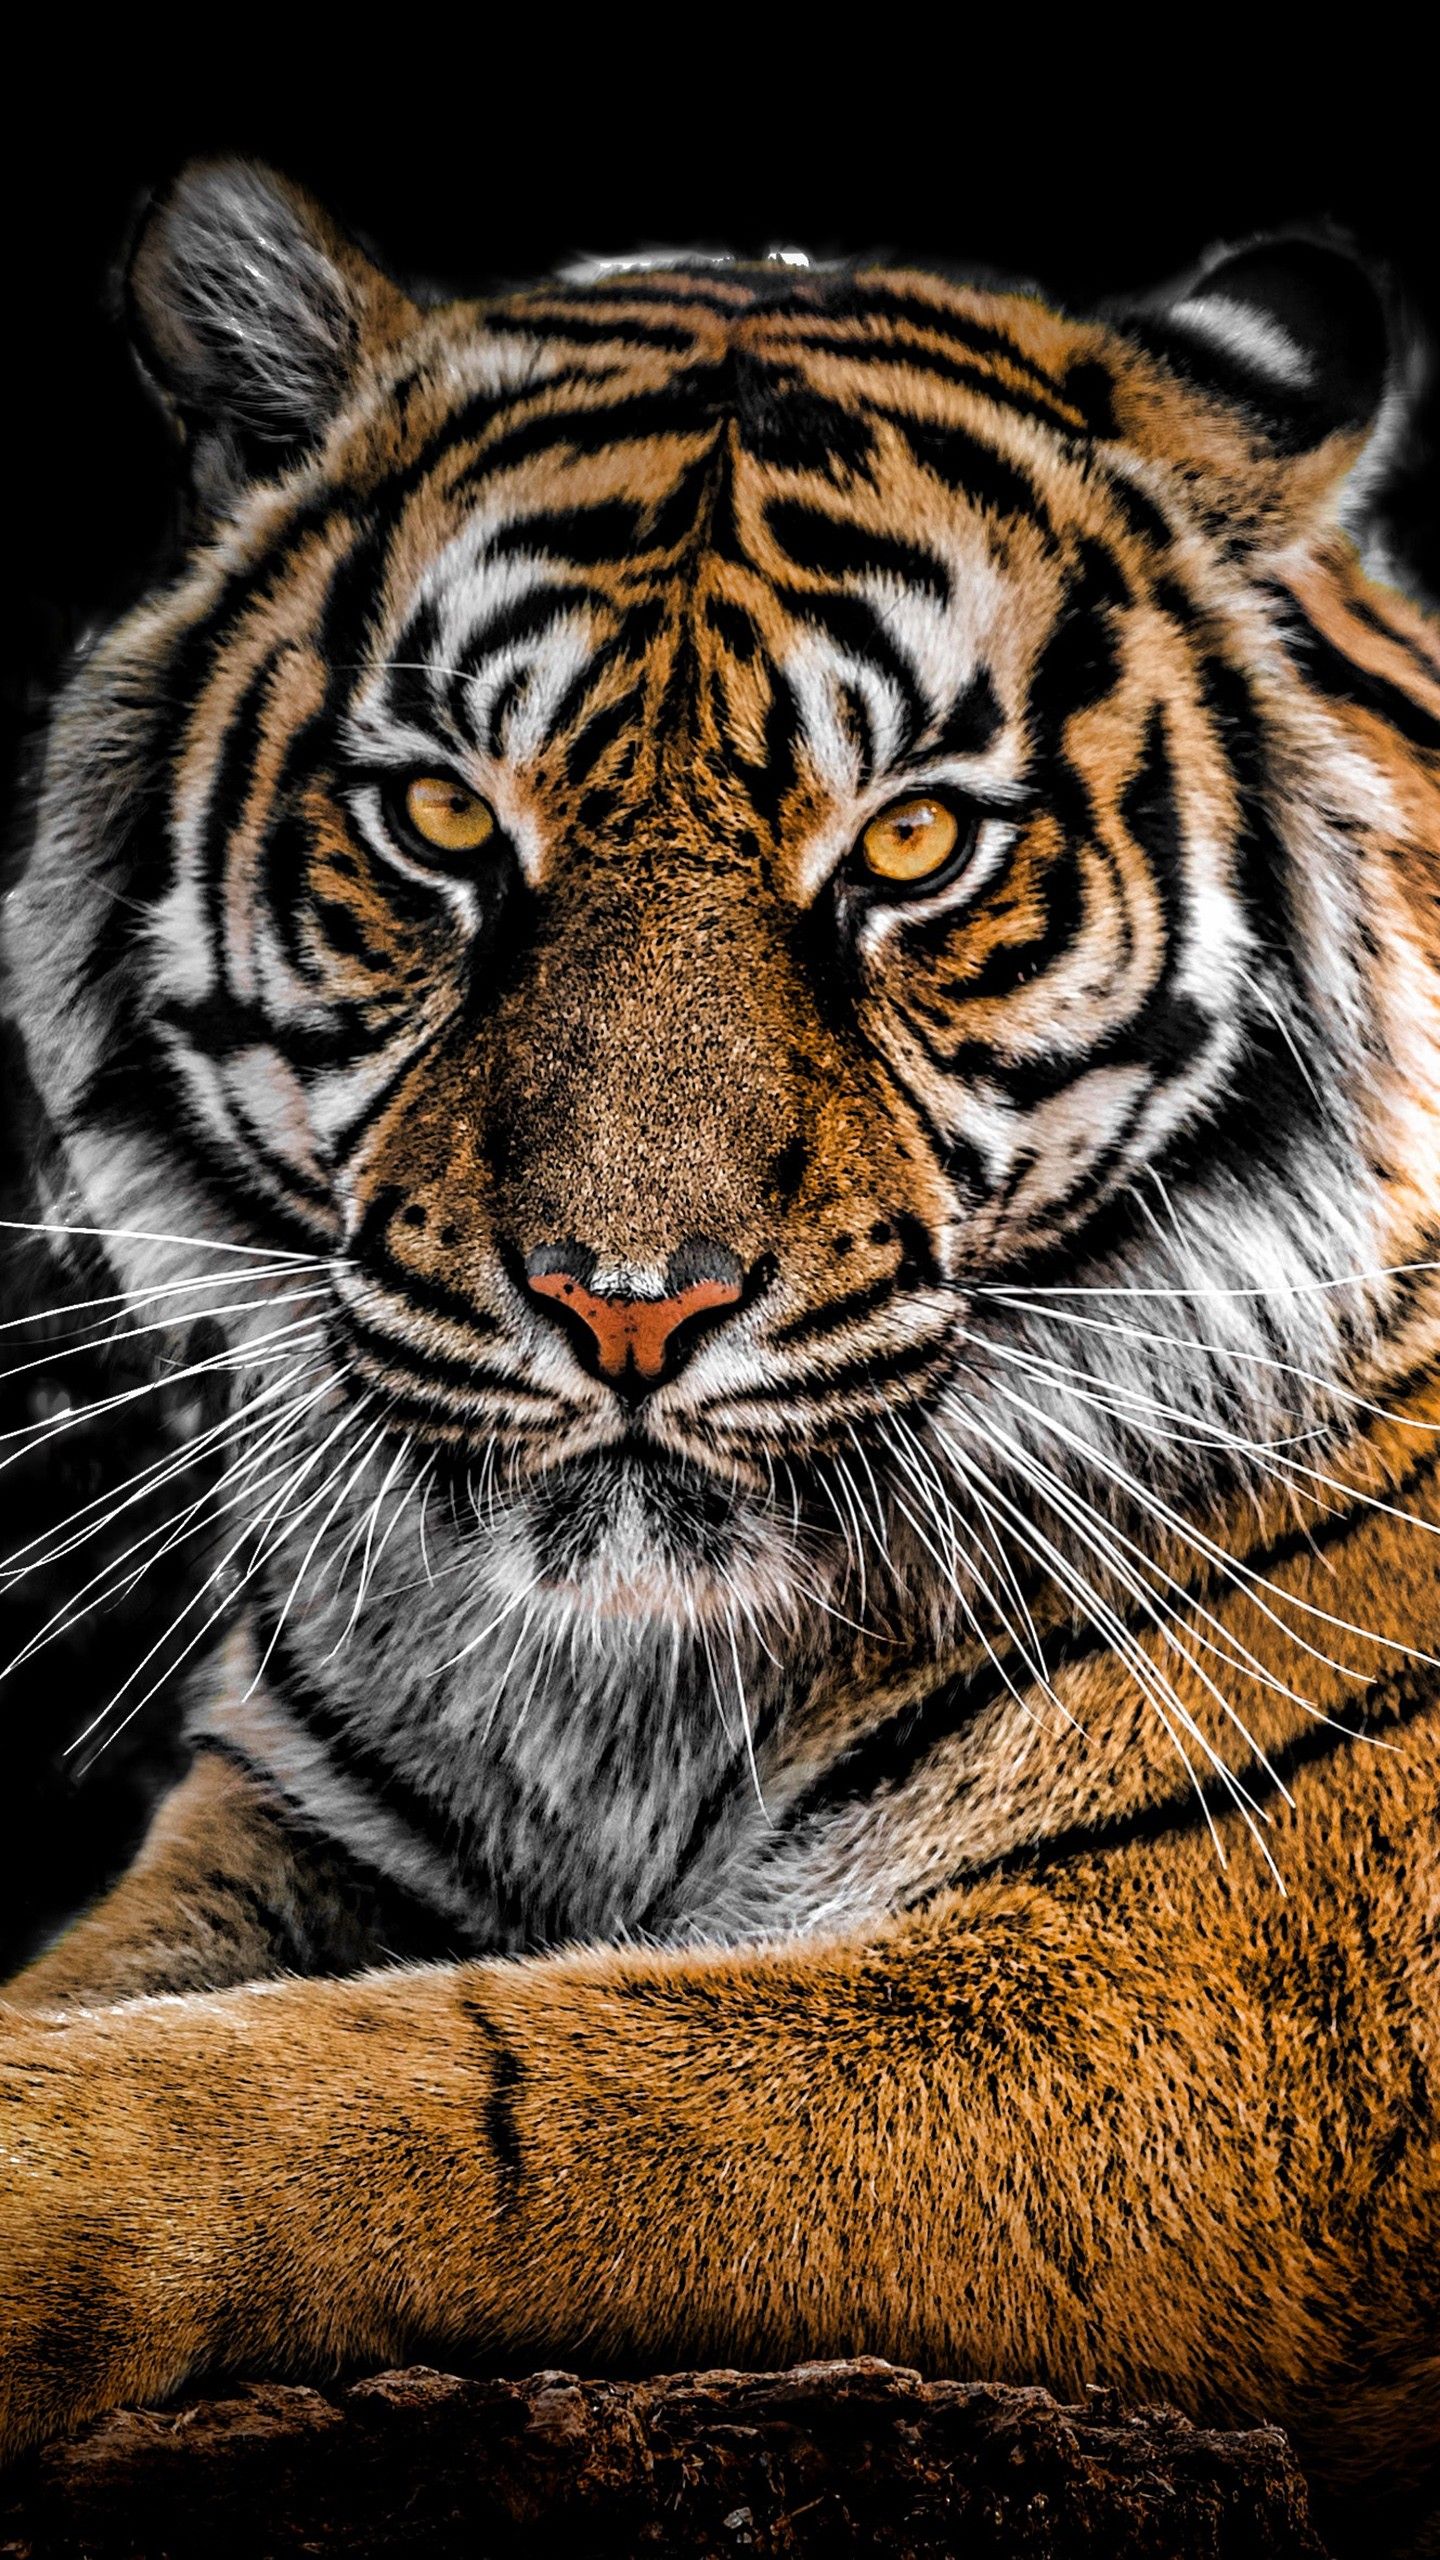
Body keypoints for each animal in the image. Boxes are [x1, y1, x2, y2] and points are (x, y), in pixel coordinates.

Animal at [3, 154, 1440, 2538]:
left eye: (919, 843)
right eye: (446, 819)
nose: (628, 1300)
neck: (636, 1695)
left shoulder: (1200, 2014)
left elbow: (481, 2089)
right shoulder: (296, 1825)